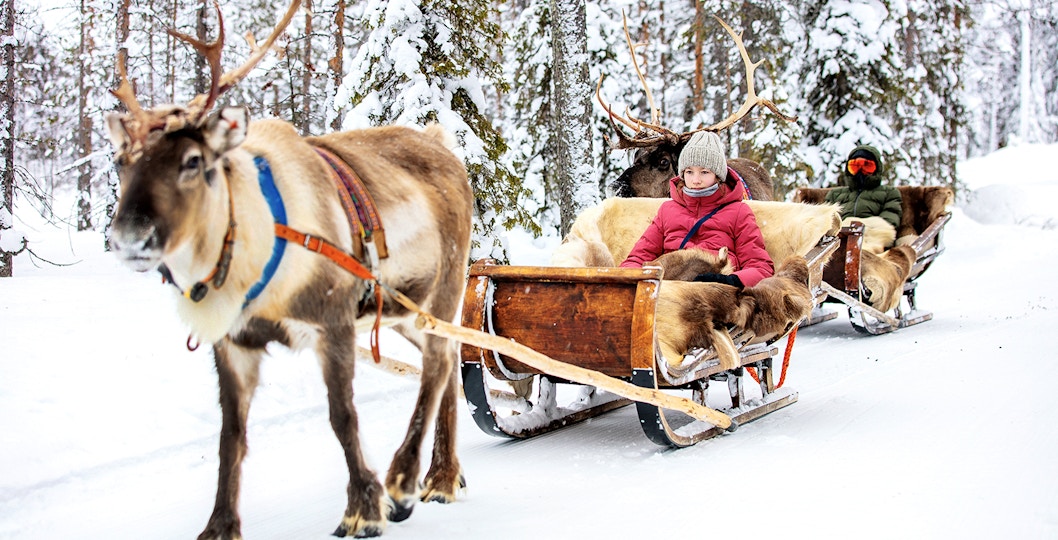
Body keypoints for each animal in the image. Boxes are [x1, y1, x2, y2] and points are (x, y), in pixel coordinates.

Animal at [104, 1, 472, 537]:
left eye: (193, 160)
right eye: (119, 161)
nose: (131, 238)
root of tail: (443, 144)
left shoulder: (332, 323)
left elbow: (343, 417)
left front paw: (365, 508)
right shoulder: (233, 344)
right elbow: (230, 437)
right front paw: (219, 525)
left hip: (444, 284)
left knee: (441, 361)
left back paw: (405, 481)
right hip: (401, 311)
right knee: (448, 359)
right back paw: (443, 476)